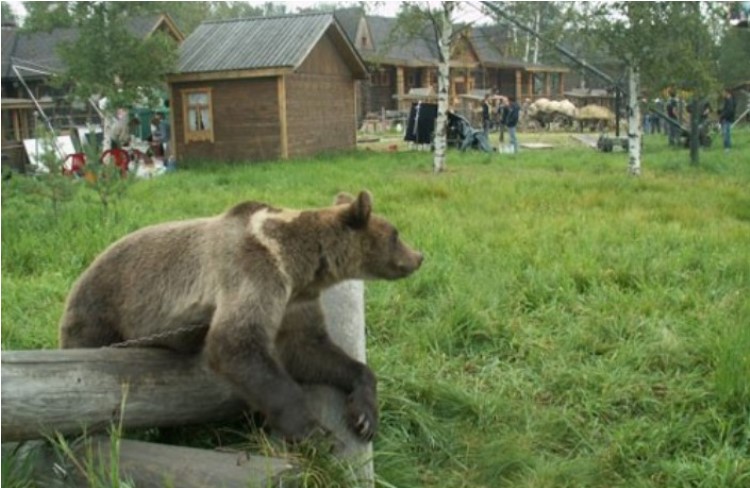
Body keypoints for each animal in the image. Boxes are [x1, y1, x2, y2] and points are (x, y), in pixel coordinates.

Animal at [58, 191, 424, 442]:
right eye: (396, 234)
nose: (419, 256)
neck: (297, 264)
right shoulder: (254, 270)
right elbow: (236, 342)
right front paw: (314, 431)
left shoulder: (294, 301)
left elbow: (310, 350)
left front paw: (364, 416)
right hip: (99, 312)